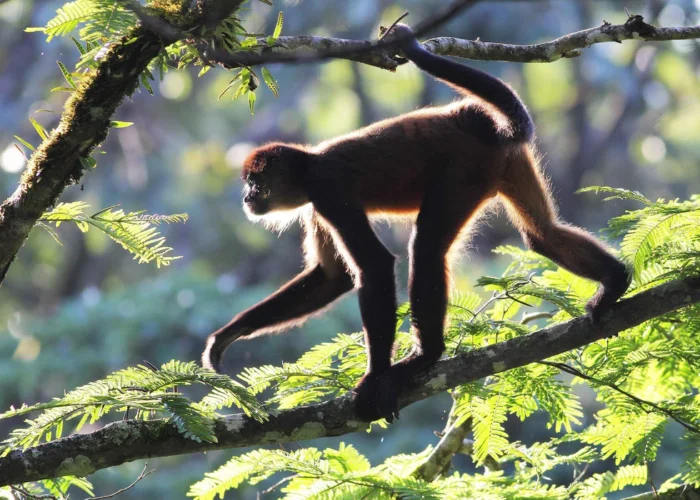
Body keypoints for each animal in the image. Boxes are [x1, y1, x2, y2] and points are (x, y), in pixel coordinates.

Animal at [201, 23, 631, 422]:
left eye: (256, 183)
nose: (247, 198)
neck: (309, 165)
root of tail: (483, 125)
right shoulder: (315, 208)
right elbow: (332, 277)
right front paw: (227, 336)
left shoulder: (327, 190)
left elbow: (374, 266)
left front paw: (376, 378)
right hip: (506, 164)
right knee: (542, 234)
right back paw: (616, 280)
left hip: (463, 171)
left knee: (426, 246)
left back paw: (425, 356)